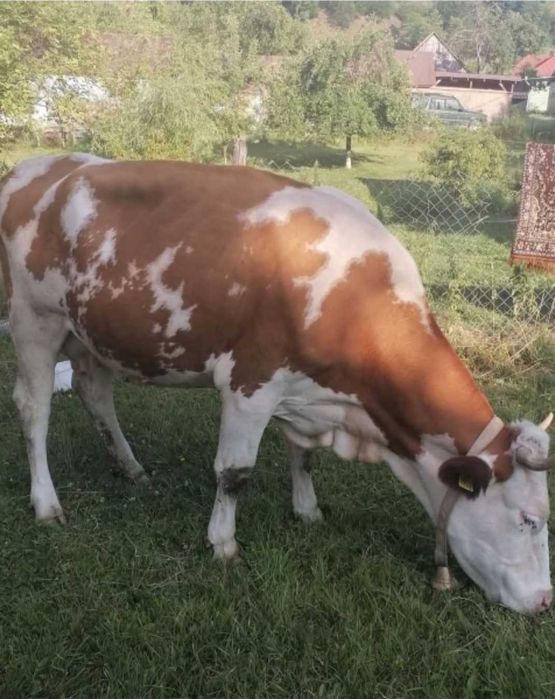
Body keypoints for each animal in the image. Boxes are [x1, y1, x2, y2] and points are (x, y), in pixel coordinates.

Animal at [0, 153, 553, 615]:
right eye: (528, 519)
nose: (545, 601)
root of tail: (38, 166)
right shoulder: (250, 384)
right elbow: (234, 472)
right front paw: (223, 543)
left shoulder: (303, 392)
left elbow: (302, 457)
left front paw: (307, 510)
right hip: (35, 321)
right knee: (34, 411)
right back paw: (47, 503)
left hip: (92, 332)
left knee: (96, 393)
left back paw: (131, 467)